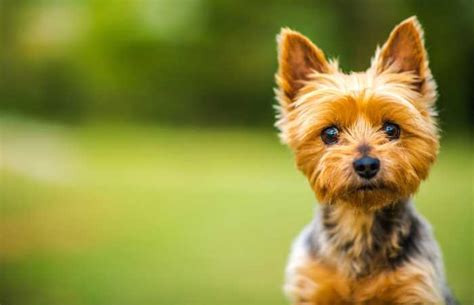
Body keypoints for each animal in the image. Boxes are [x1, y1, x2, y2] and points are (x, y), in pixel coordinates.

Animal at [274, 16, 456, 304]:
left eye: (392, 129)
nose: (367, 165)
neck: (359, 220)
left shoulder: (416, 285)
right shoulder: (313, 285)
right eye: (329, 133)